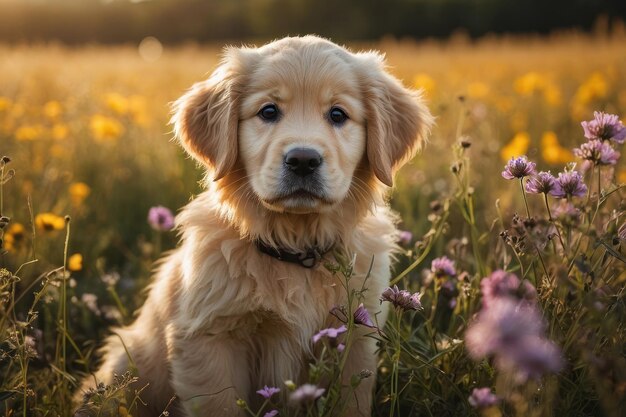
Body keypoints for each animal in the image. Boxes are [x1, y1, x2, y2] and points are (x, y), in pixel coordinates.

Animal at [77, 35, 428, 416]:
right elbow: (221, 405)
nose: (303, 160)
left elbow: (350, 402)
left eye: (338, 114)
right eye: (268, 112)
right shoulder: (210, 340)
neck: (295, 250)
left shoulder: (355, 336)